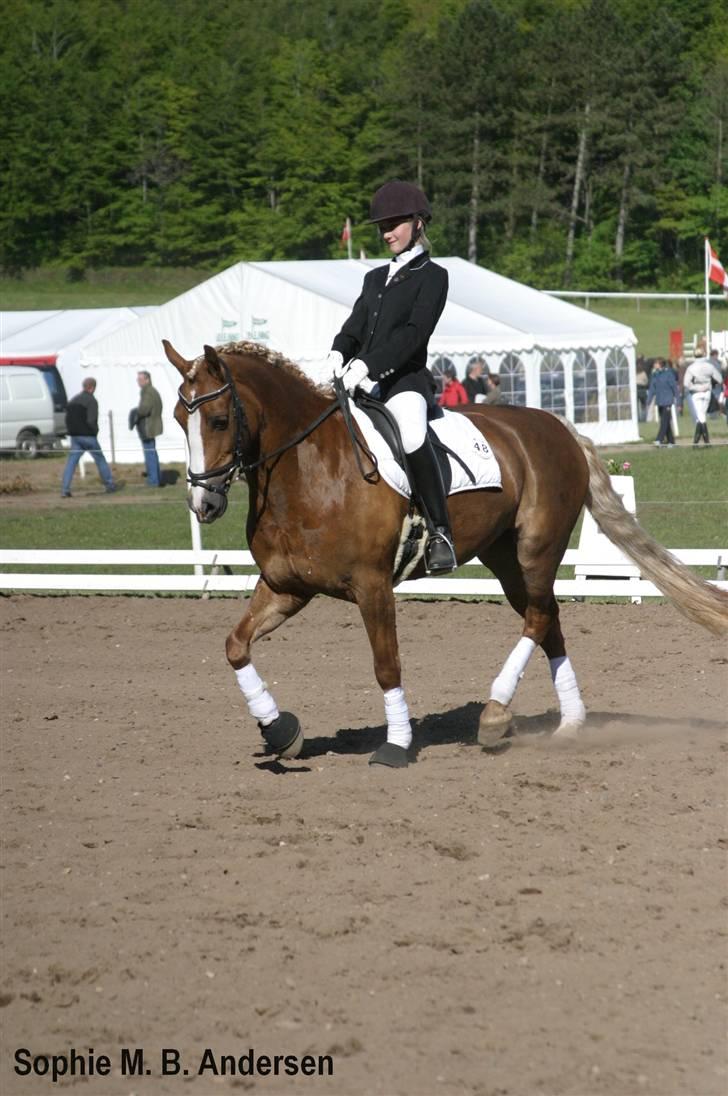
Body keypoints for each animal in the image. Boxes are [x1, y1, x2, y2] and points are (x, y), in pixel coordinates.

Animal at [164, 337, 728, 767]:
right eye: (175, 417)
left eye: (218, 420)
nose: (203, 503)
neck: (308, 471)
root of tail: (560, 428)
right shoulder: (286, 587)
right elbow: (235, 646)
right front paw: (280, 731)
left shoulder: (372, 585)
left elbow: (386, 665)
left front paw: (396, 746)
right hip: (505, 558)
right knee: (547, 618)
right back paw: (570, 723)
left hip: (536, 547)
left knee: (538, 617)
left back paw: (496, 715)